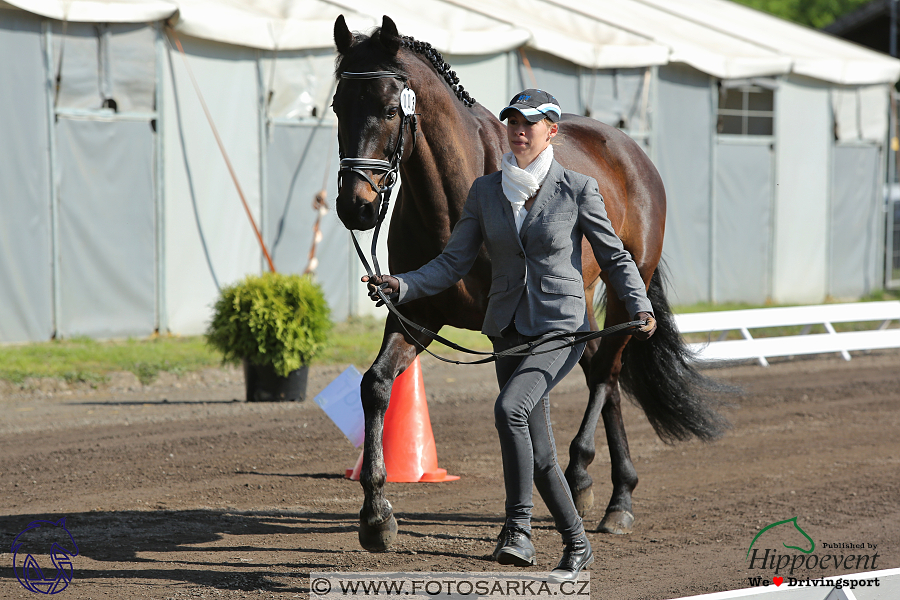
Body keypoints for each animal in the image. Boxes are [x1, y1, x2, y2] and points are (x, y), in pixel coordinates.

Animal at [334, 14, 728, 552]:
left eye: (391, 110)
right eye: (338, 106)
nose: (355, 206)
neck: (453, 193)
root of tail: (627, 146)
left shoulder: (512, 332)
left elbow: (522, 409)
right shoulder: (417, 315)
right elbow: (375, 386)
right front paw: (376, 516)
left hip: (624, 293)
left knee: (605, 374)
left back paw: (597, 487)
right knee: (601, 371)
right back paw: (613, 489)